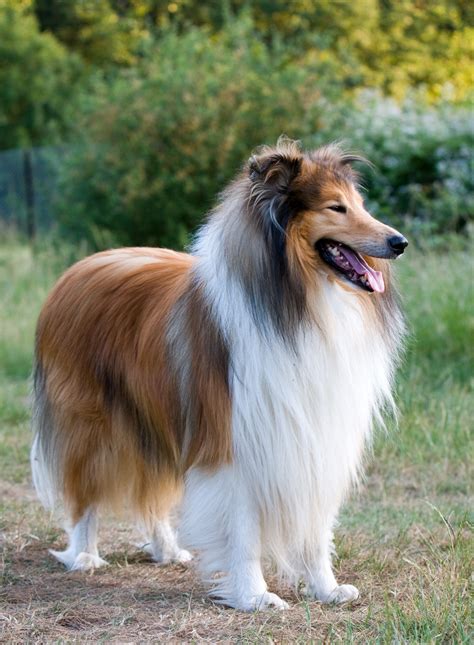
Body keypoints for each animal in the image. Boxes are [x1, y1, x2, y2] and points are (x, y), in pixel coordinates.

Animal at [31, 140, 406, 608]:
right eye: (336, 207)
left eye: (360, 205)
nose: (400, 242)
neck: (300, 305)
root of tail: (76, 270)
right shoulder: (234, 441)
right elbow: (241, 530)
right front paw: (254, 597)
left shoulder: (315, 436)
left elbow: (315, 529)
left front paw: (326, 588)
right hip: (93, 427)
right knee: (86, 494)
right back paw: (83, 555)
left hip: (157, 418)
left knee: (151, 493)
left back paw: (167, 549)